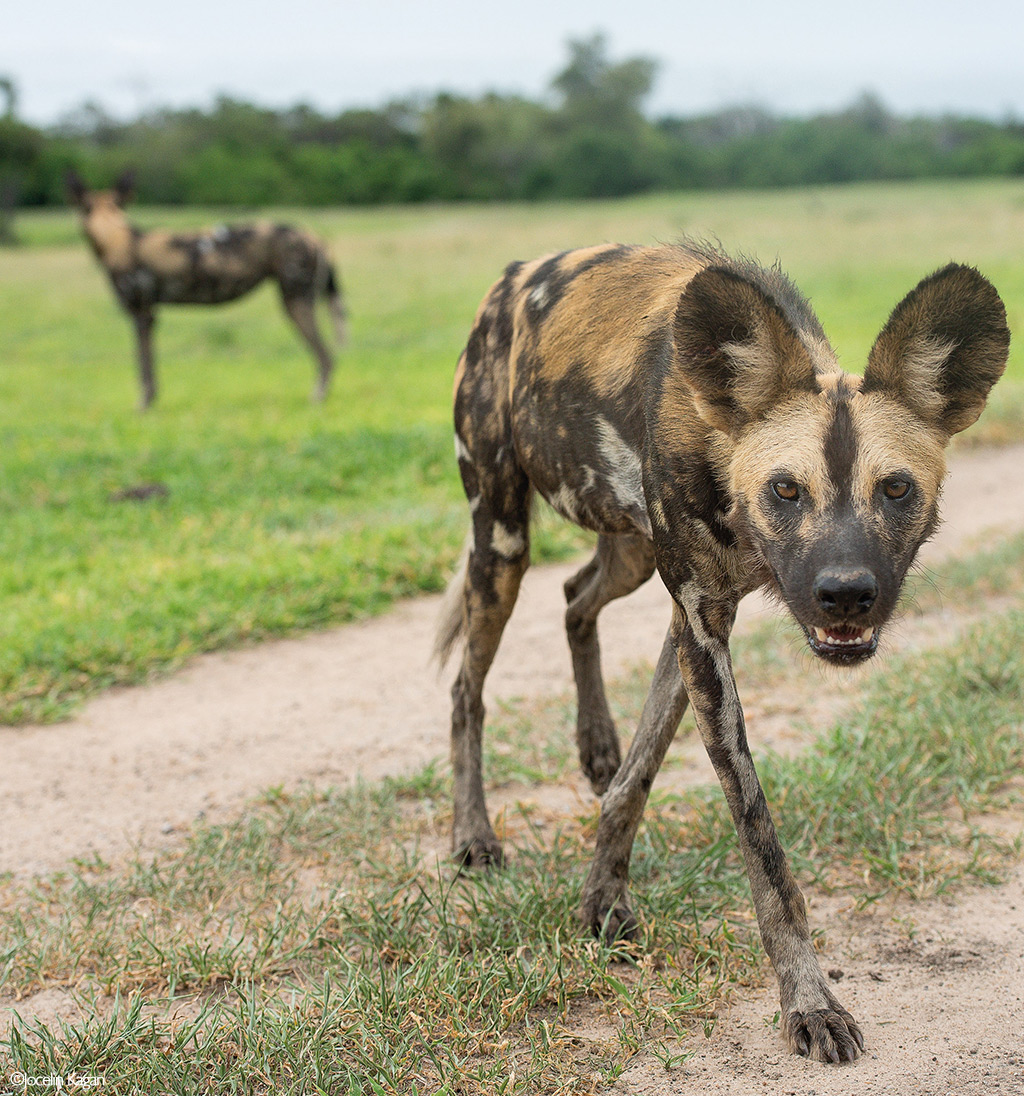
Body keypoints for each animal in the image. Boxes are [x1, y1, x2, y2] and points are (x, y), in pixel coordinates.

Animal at [69, 168, 348, 409]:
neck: (114, 238)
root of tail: (315, 237)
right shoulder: (150, 317)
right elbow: (149, 366)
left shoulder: (141, 314)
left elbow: (144, 368)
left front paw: (144, 405)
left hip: (295, 303)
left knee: (326, 357)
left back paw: (317, 397)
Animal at [434, 237, 1008, 1060]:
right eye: (786, 490)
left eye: (896, 489)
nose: (845, 594)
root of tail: (512, 277)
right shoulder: (701, 628)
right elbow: (761, 842)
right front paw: (809, 1002)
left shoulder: (693, 624)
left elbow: (635, 782)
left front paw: (601, 900)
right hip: (502, 544)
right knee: (467, 687)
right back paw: (473, 836)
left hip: (627, 554)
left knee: (574, 599)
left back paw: (594, 742)